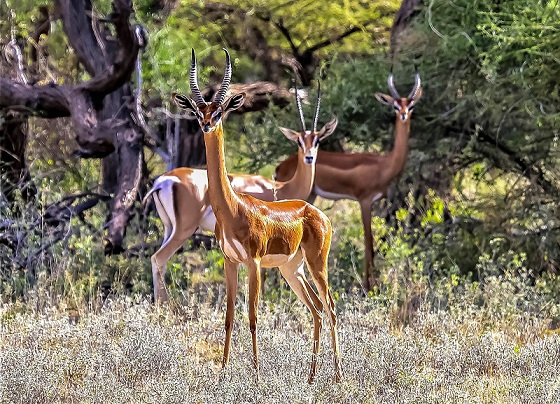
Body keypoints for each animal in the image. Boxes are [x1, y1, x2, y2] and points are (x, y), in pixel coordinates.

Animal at [144, 83, 336, 304]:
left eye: (317, 140)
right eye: (299, 142)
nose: (309, 158)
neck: (281, 187)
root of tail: (162, 181)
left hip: (169, 228)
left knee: (157, 260)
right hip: (184, 230)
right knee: (159, 258)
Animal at [171, 49, 342, 384]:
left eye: (220, 111)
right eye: (198, 110)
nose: (206, 124)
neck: (233, 208)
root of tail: (316, 213)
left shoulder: (254, 262)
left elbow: (252, 316)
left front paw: (257, 375)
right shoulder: (230, 261)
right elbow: (228, 316)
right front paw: (223, 372)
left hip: (316, 263)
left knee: (330, 307)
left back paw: (339, 377)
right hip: (292, 269)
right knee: (316, 309)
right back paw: (311, 377)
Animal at [274, 72, 422, 290]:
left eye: (410, 106)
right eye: (395, 106)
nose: (403, 115)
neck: (384, 164)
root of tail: (280, 167)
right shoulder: (365, 201)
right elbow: (369, 243)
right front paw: (369, 287)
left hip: (311, 197)